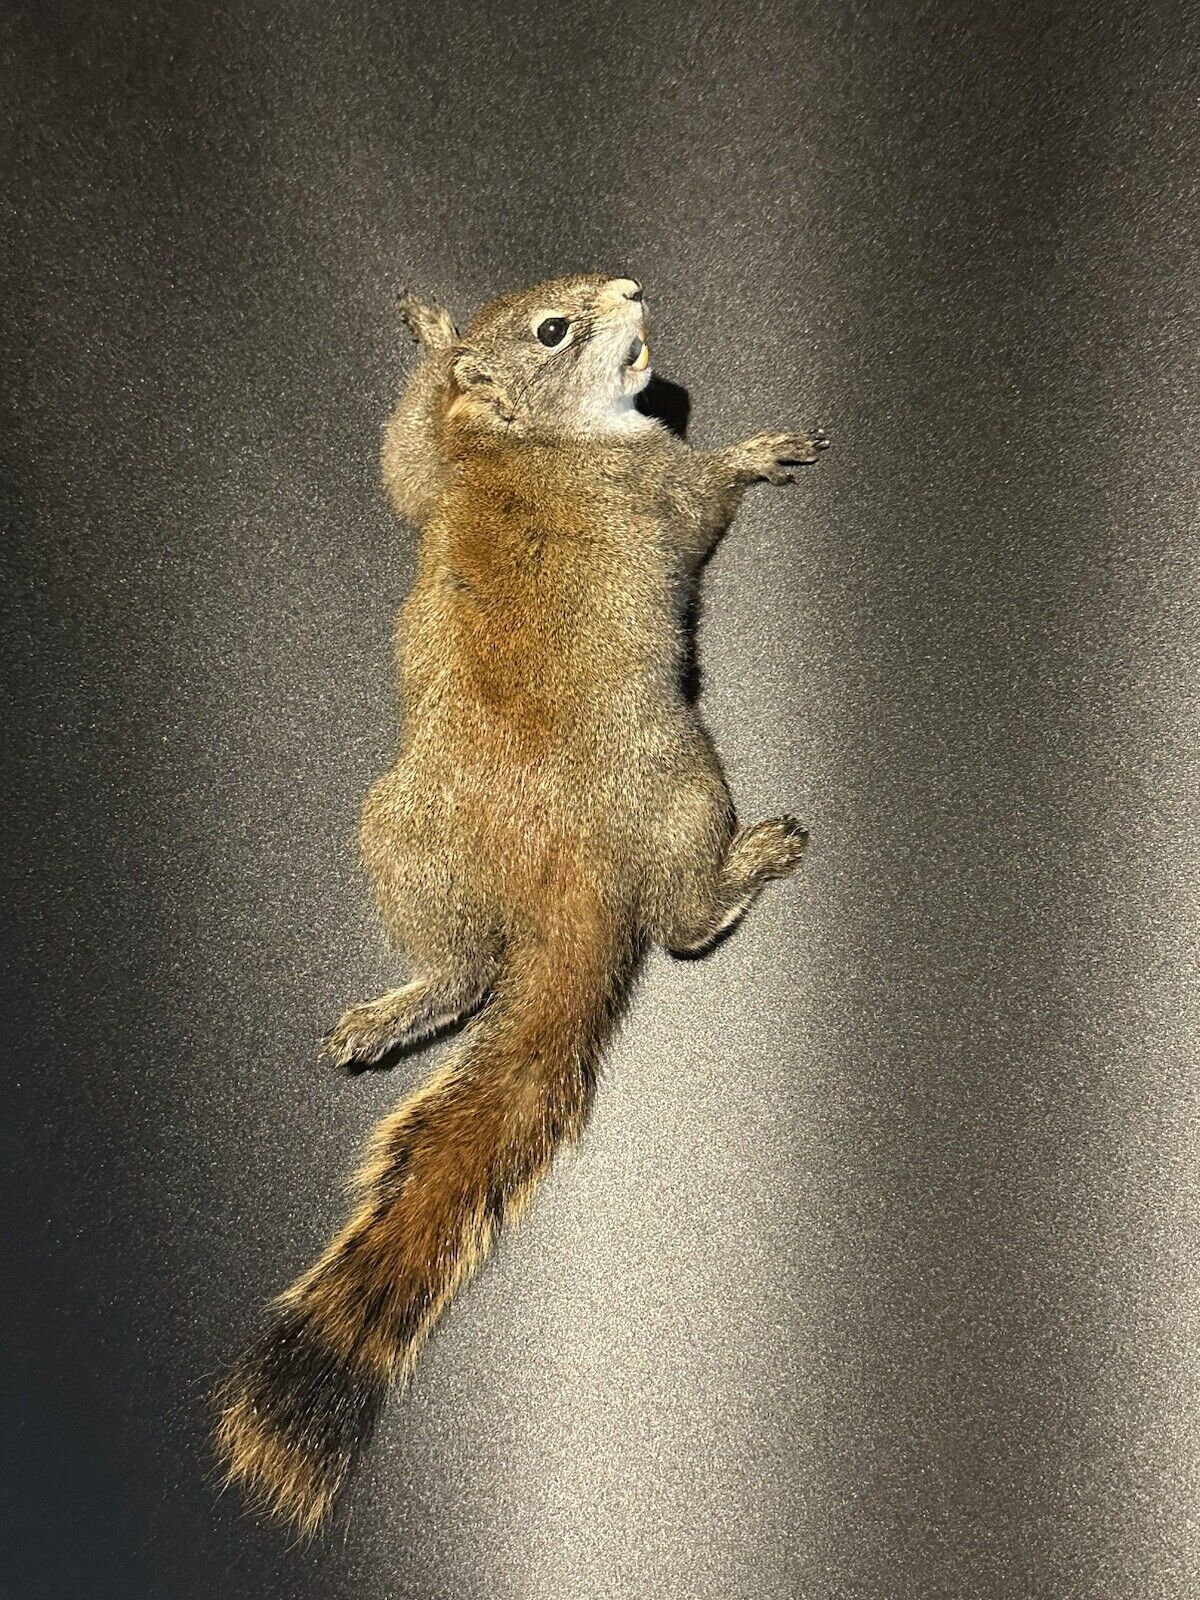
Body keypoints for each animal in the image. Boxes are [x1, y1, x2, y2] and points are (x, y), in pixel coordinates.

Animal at [215, 274, 829, 1532]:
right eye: (556, 328)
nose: (629, 287)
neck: (521, 440)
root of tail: (561, 877)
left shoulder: (434, 469)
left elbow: (399, 460)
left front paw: (430, 333)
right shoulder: (652, 482)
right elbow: (702, 495)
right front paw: (755, 450)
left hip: (401, 836)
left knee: (466, 970)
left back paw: (392, 1013)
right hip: (679, 784)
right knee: (676, 924)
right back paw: (744, 866)